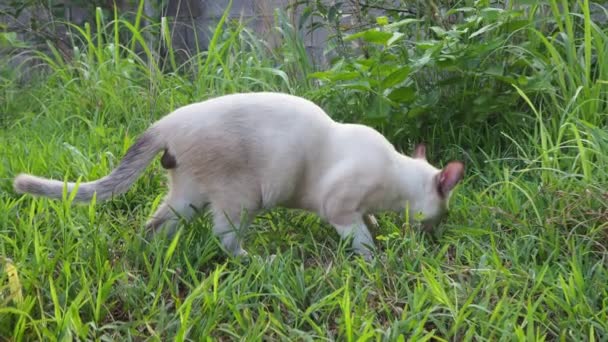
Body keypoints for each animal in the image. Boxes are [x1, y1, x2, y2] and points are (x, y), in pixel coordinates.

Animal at [13, 91, 466, 260]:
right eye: (441, 216)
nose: (435, 234)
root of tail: (166, 123)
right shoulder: (340, 211)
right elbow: (363, 241)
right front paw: (375, 260)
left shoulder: (358, 209)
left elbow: (370, 224)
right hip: (241, 199)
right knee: (225, 240)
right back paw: (260, 262)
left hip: (188, 197)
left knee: (153, 226)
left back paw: (148, 258)